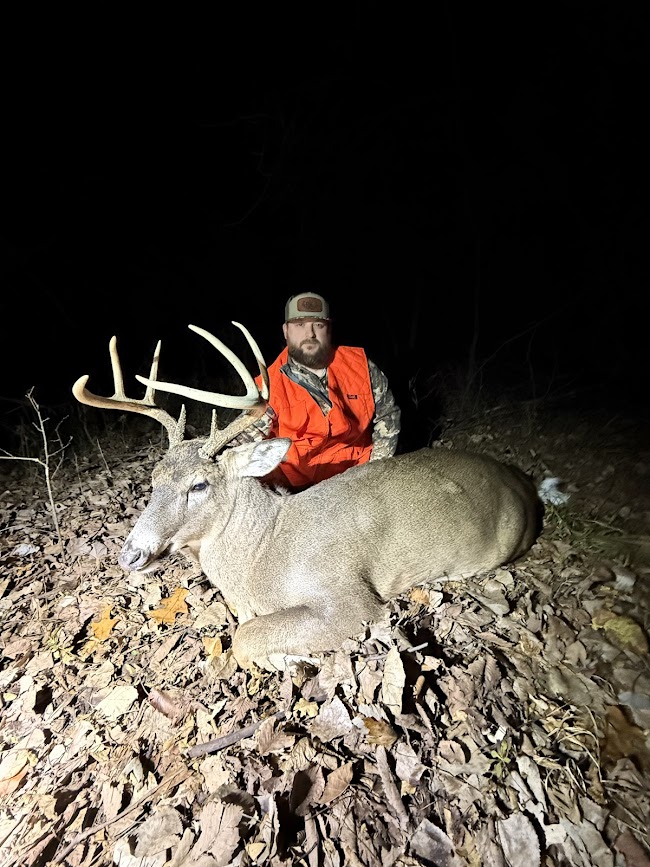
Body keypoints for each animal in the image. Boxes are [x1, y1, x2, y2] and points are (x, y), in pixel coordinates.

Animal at [73, 322, 544, 672]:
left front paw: (292, 660)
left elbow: (244, 638)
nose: (130, 555)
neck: (263, 553)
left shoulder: (351, 599)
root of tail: (523, 484)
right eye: (154, 479)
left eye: (199, 485)